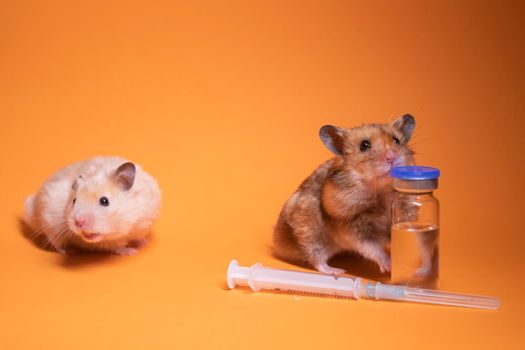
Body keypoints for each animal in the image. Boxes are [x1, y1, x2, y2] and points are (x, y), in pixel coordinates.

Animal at [23, 157, 162, 256]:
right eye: (74, 201)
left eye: (104, 201)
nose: (78, 222)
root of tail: (32, 203)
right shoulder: (111, 242)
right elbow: (117, 246)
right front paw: (131, 252)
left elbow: (139, 236)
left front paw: (144, 243)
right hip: (51, 225)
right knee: (57, 244)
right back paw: (71, 252)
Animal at [274, 115, 414, 276]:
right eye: (364, 145)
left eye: (396, 140)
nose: (392, 157)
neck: (383, 191)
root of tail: (276, 244)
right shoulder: (354, 227)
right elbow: (372, 248)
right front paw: (389, 266)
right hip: (309, 234)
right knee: (316, 259)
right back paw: (337, 271)